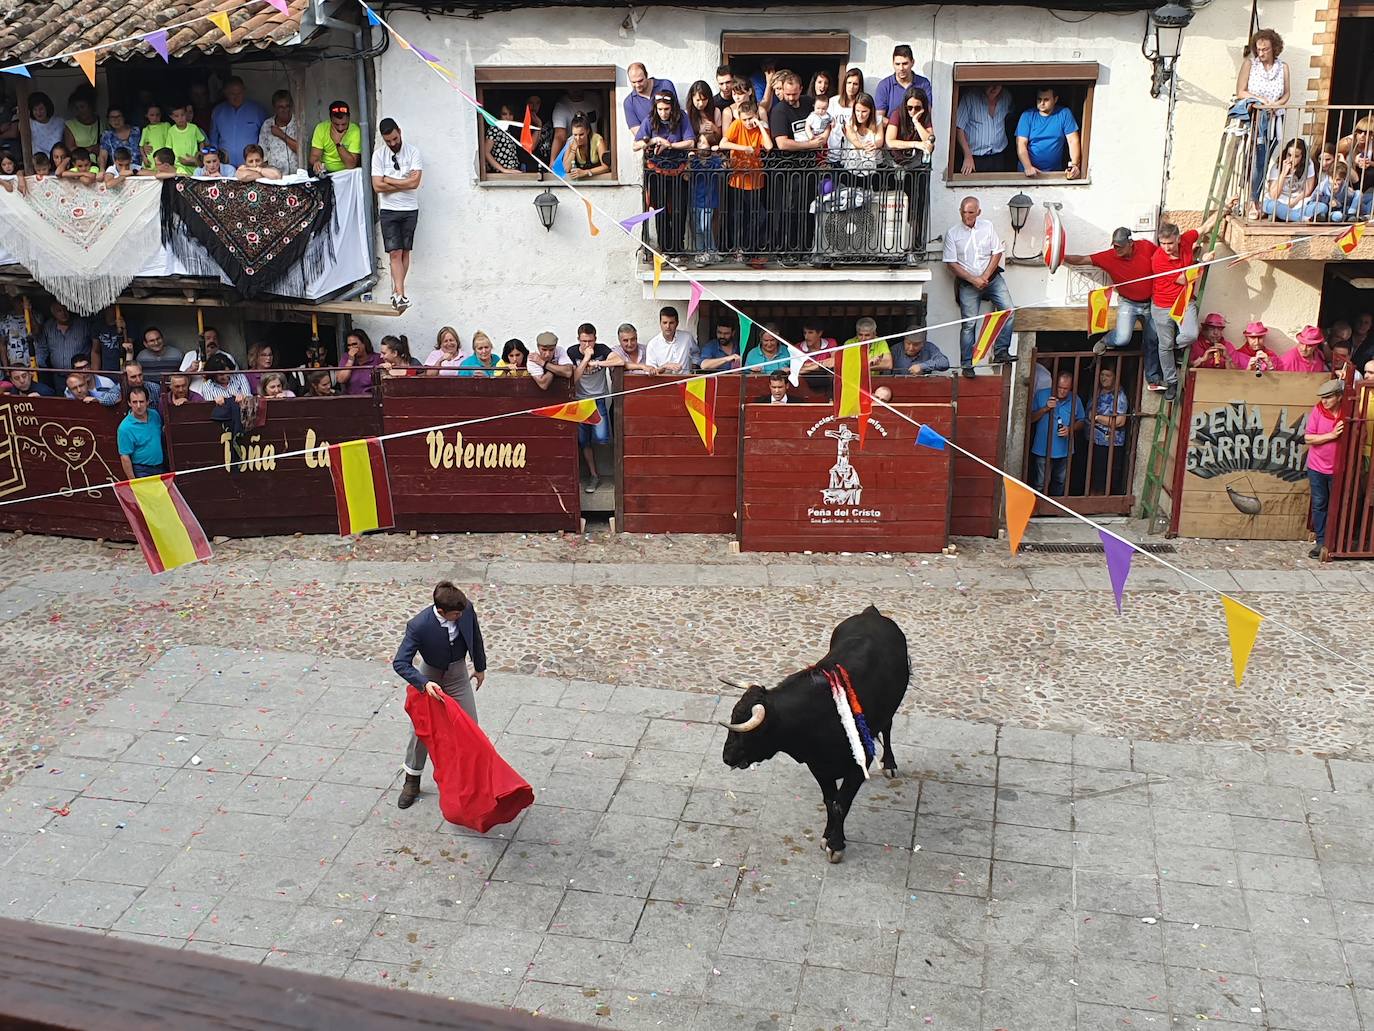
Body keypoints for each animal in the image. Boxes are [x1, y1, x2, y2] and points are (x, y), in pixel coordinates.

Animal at [725, 604, 906, 863]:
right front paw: (827, 836)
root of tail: (871, 614)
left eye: (749, 732)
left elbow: (841, 803)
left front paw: (836, 845)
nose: (726, 757)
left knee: (888, 728)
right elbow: (830, 801)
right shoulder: (819, 766)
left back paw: (890, 763)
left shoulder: (859, 763)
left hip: (891, 708)